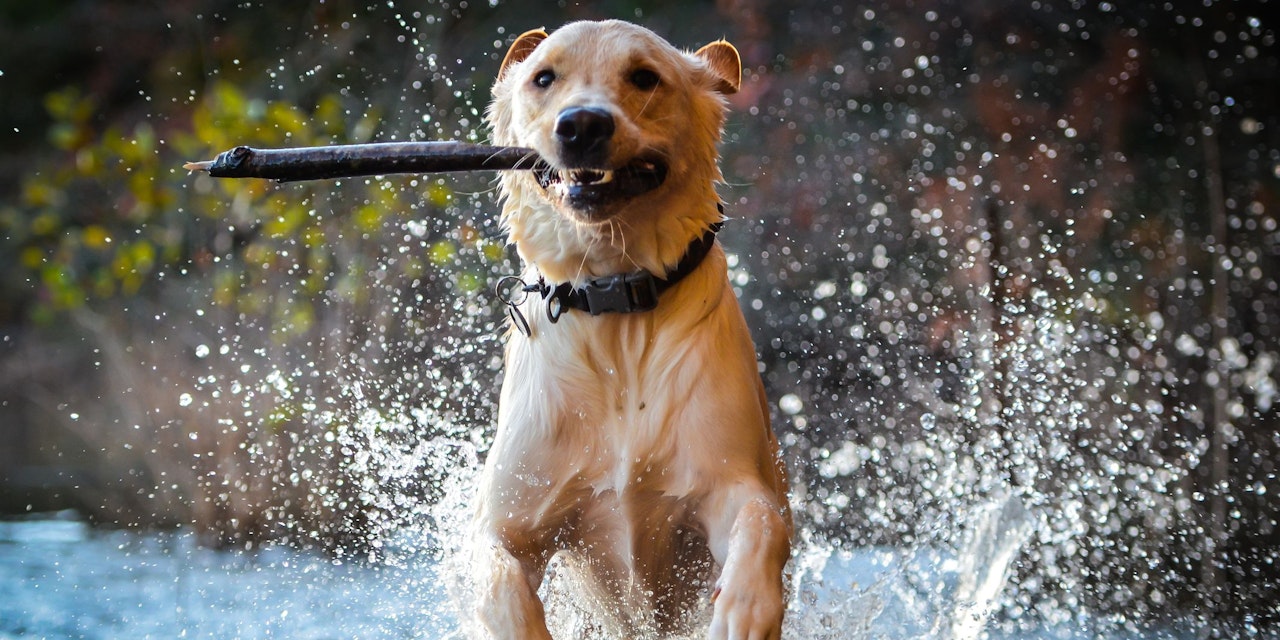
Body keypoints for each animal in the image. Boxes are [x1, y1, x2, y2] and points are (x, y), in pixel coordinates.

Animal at [473, 20, 788, 640]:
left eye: (644, 77)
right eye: (543, 77)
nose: (582, 125)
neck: (613, 300)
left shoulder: (730, 480)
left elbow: (761, 521)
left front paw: (745, 610)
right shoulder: (509, 514)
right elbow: (495, 575)